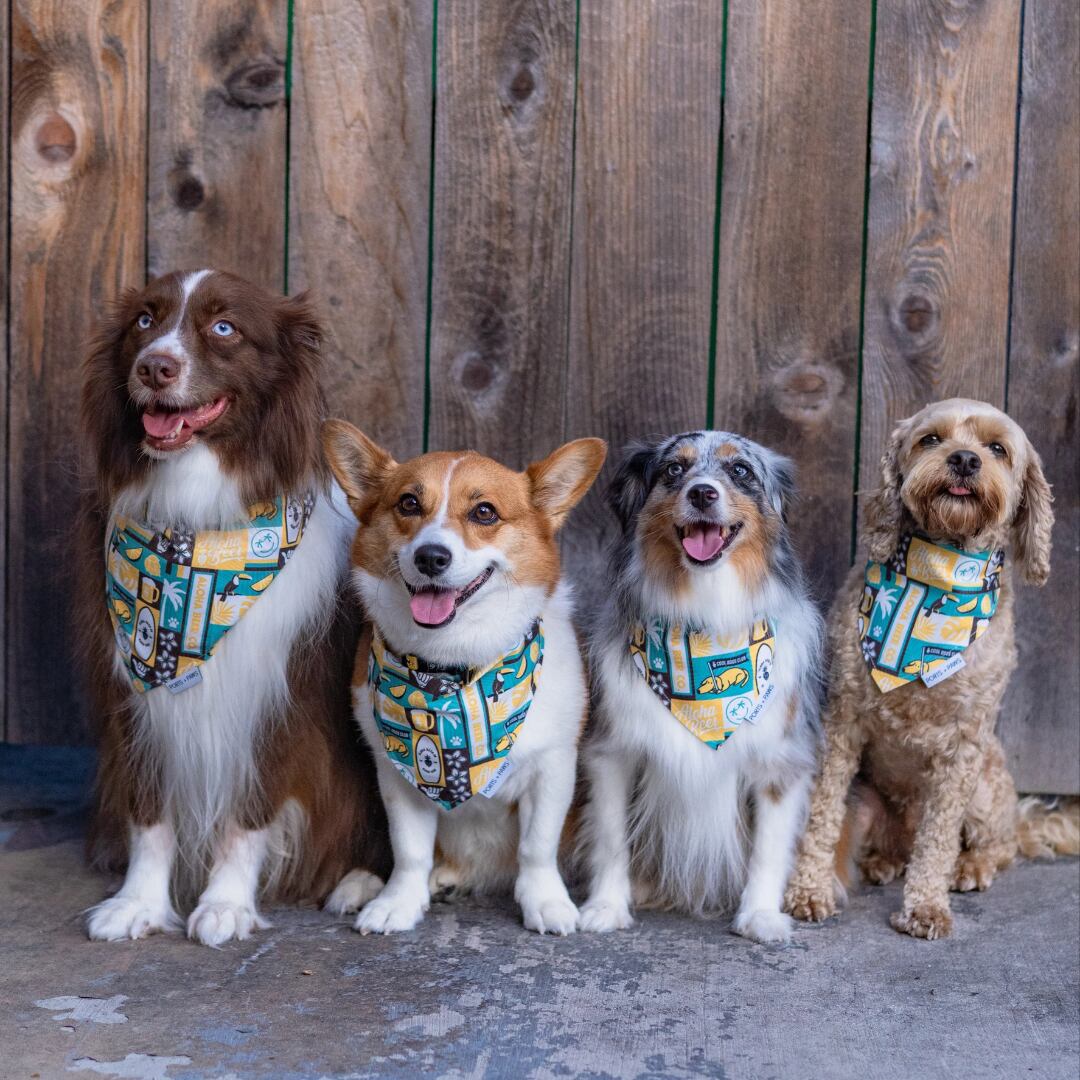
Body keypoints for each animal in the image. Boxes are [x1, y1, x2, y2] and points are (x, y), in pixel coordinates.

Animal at [78, 269, 388, 945]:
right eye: (145, 320)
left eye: (225, 327)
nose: (155, 366)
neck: (197, 517)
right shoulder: (132, 694)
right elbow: (149, 812)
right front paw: (138, 902)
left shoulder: (277, 694)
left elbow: (249, 814)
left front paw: (225, 904)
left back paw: (357, 883)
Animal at [322, 422, 606, 934]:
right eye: (408, 503)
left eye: (484, 512)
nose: (431, 557)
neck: (451, 667)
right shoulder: (398, 775)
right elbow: (409, 849)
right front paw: (398, 902)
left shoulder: (554, 766)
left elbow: (537, 847)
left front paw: (546, 903)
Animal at [578, 431, 821, 943]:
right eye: (674, 469)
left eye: (741, 471)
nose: (703, 493)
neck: (706, 617)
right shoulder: (613, 751)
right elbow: (611, 837)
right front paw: (606, 907)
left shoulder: (780, 760)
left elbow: (769, 847)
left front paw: (760, 916)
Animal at [785, 398, 1074, 939]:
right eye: (931, 439)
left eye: (998, 448)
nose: (964, 459)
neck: (938, 571)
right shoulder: (842, 720)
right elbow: (821, 811)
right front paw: (808, 890)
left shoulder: (965, 743)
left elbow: (938, 838)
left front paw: (925, 906)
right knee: (900, 843)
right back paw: (885, 861)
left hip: (986, 786)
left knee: (1001, 846)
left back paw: (970, 867)